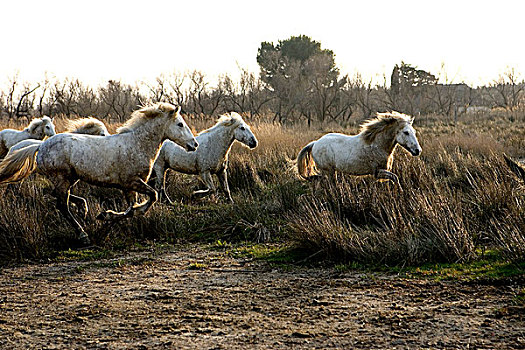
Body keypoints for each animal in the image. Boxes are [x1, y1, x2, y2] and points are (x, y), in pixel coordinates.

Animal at [0, 102, 198, 245]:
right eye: (180, 124)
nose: (194, 144)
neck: (136, 144)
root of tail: (40, 146)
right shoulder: (132, 182)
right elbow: (151, 197)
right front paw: (106, 217)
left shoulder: (129, 188)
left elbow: (133, 208)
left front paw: (106, 219)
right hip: (62, 178)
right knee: (62, 204)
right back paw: (83, 235)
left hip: (70, 178)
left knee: (59, 196)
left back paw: (83, 208)